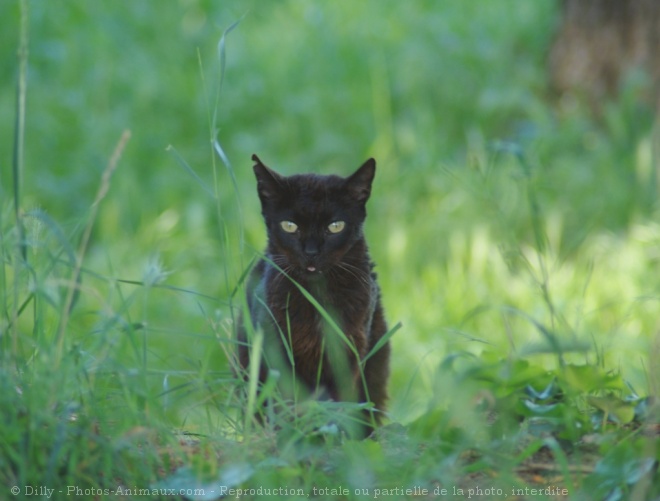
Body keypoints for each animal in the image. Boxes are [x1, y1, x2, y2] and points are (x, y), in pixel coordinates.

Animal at [238, 154, 390, 432]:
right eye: (289, 226)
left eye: (335, 226)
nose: (310, 251)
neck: (316, 297)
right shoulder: (277, 350)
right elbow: (286, 404)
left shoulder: (350, 351)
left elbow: (340, 404)